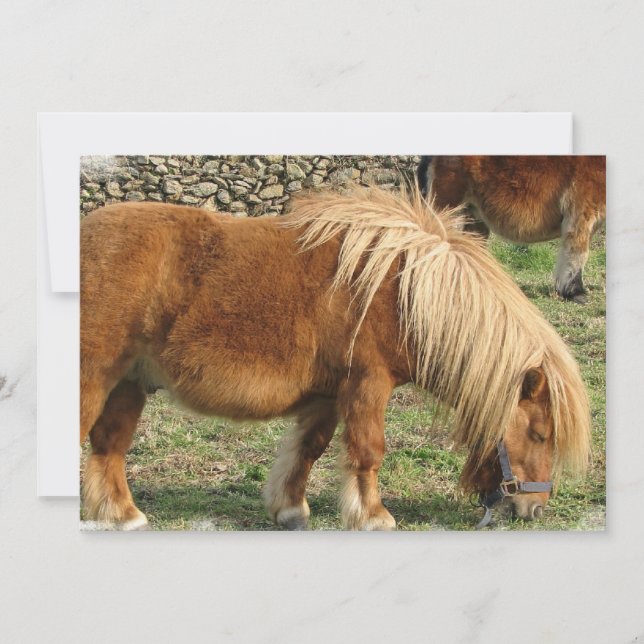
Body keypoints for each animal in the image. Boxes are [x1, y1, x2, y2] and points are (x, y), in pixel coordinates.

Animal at [80, 186, 591, 530]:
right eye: (540, 434)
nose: (534, 508)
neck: (399, 290)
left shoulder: (326, 395)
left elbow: (309, 449)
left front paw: (289, 509)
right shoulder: (368, 385)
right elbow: (368, 452)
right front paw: (374, 516)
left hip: (128, 384)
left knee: (109, 446)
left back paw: (123, 515)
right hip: (93, 380)